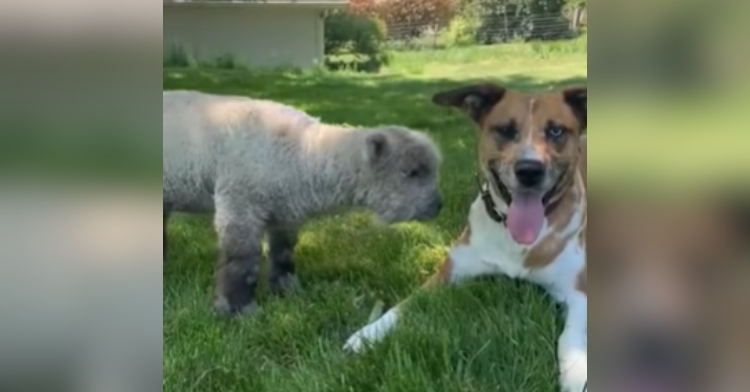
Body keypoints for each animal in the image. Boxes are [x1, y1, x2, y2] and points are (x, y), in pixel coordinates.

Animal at [344, 84, 592, 392]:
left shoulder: (580, 292)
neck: (515, 241)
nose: (529, 170)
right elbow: (401, 307)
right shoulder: (447, 275)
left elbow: (569, 338)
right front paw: (366, 334)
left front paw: (575, 373)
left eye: (556, 131)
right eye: (505, 130)